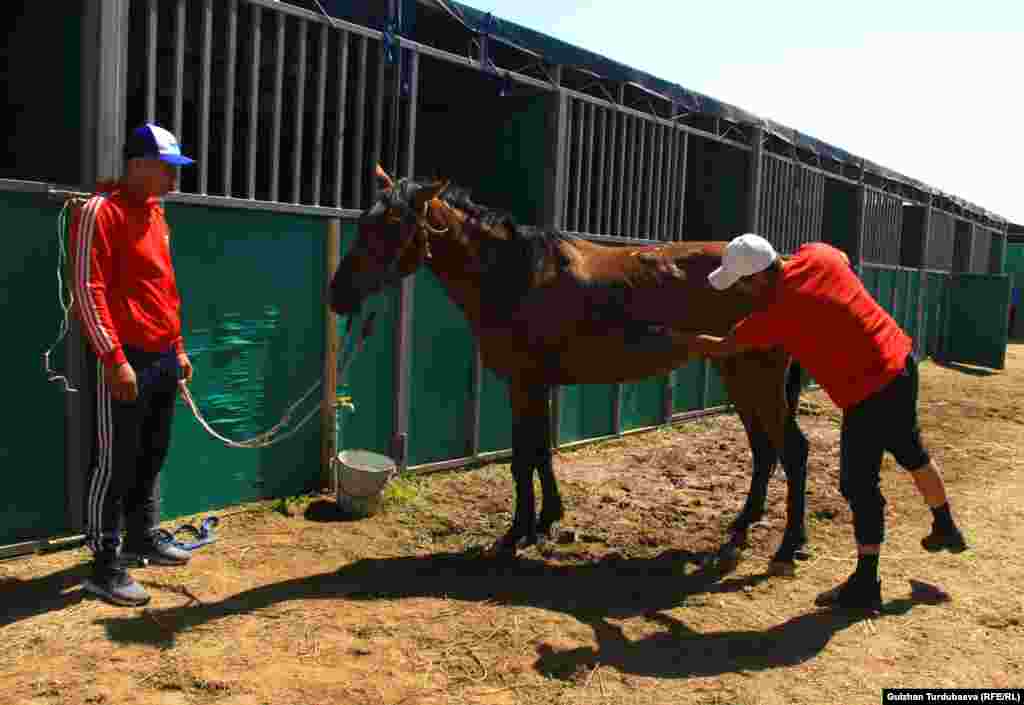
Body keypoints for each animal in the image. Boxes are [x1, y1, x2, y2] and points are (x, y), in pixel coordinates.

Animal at [331, 169, 811, 573]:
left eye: (394, 226)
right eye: (363, 222)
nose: (338, 294)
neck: (516, 274)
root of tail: (777, 270)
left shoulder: (524, 384)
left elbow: (523, 459)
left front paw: (515, 534)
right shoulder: (537, 385)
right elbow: (541, 453)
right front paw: (545, 521)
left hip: (757, 378)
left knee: (793, 450)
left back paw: (788, 547)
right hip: (738, 374)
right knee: (764, 450)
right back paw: (742, 525)